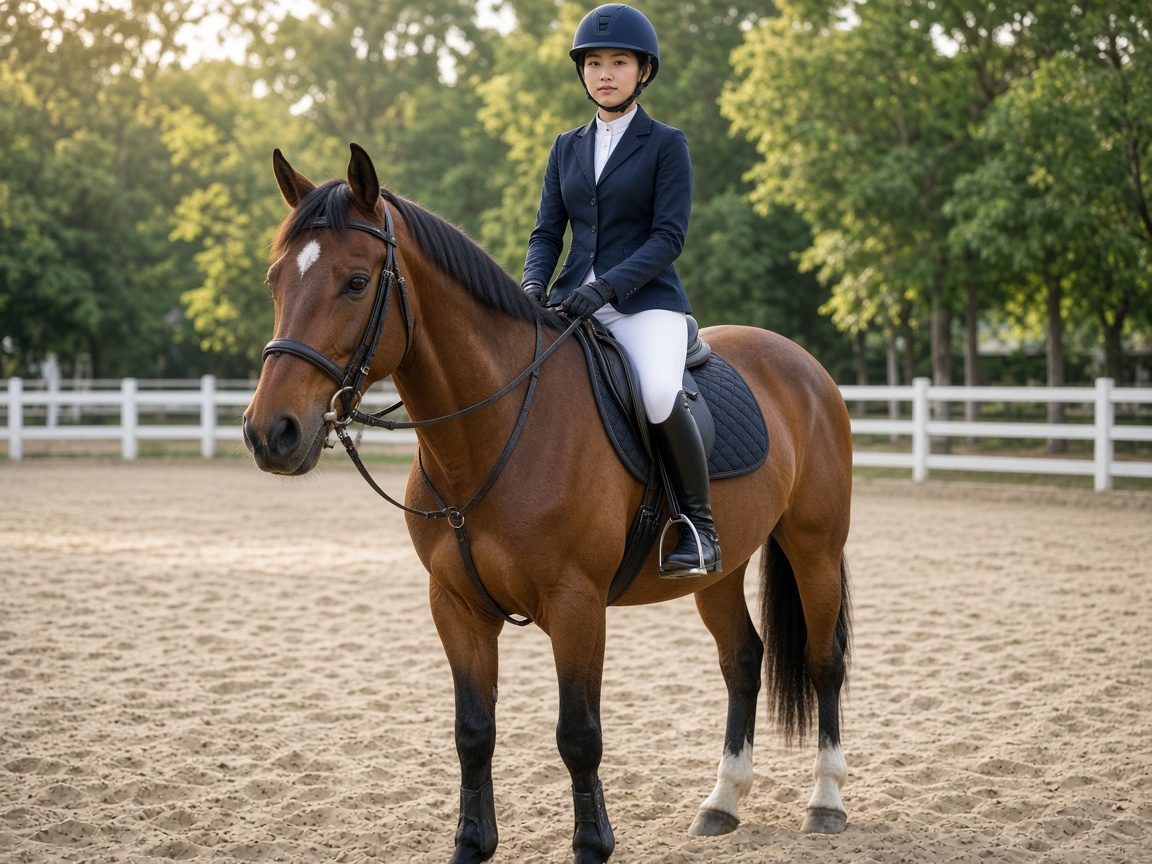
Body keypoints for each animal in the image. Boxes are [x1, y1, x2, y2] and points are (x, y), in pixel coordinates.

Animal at [243, 143, 854, 864]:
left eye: (357, 282)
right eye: (276, 280)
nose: (270, 432)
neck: (493, 430)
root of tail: (801, 363)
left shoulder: (576, 604)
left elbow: (578, 734)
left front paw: (592, 844)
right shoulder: (456, 605)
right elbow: (473, 731)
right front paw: (472, 844)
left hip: (815, 546)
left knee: (823, 661)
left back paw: (826, 802)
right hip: (720, 568)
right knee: (742, 662)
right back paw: (722, 804)